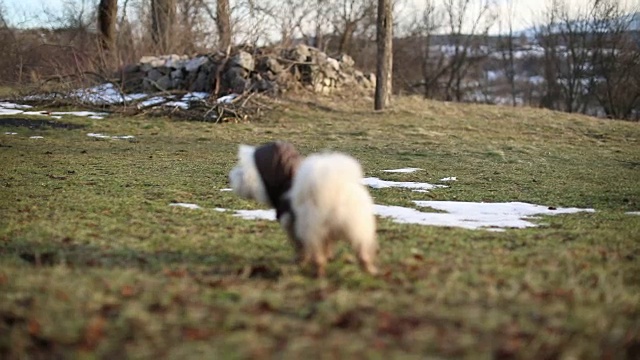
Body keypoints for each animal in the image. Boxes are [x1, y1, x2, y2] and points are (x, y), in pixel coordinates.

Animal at [229, 141, 376, 276]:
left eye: (241, 168)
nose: (231, 175)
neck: (287, 178)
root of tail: (336, 194)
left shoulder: (292, 224)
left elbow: (299, 247)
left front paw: (299, 261)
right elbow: (326, 246)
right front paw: (328, 257)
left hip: (312, 229)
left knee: (318, 257)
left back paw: (318, 273)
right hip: (356, 228)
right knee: (363, 254)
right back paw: (370, 272)